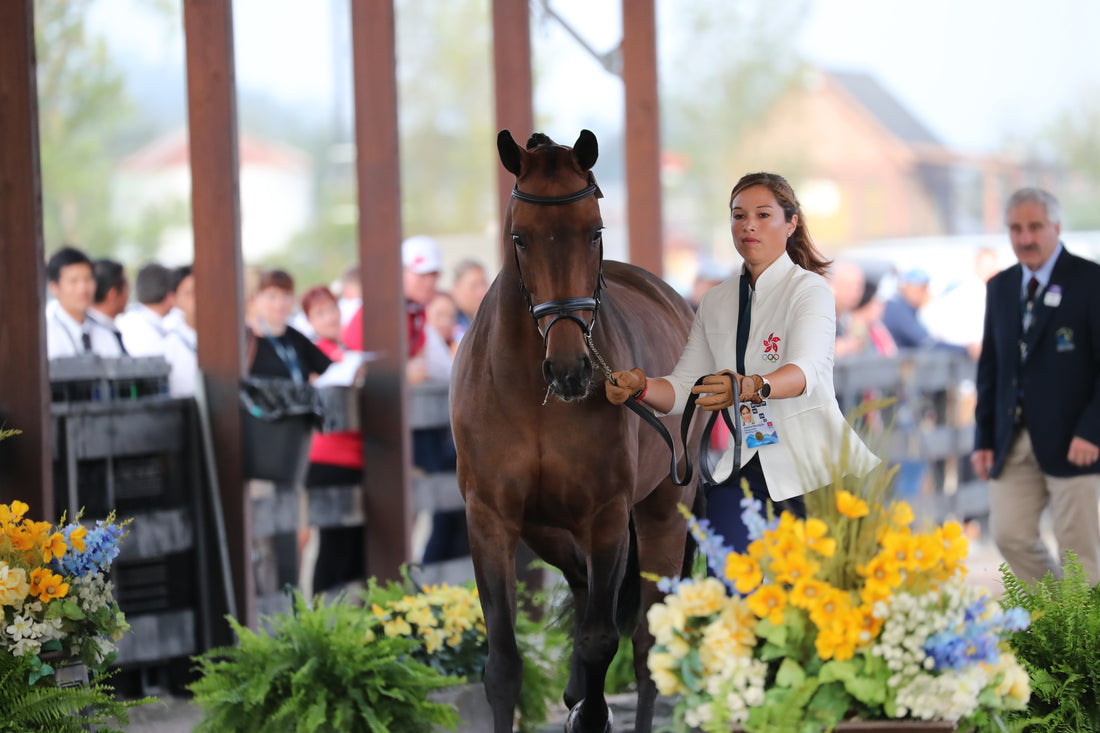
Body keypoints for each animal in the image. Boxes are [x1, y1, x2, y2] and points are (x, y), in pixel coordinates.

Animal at [451, 131, 699, 730]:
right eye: (520, 236)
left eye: (596, 230)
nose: (569, 370)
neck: (535, 399)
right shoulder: (491, 517)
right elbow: (503, 664)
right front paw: (572, 700)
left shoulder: (607, 516)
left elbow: (600, 641)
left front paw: (592, 713)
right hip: (547, 531)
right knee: (586, 589)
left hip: (660, 516)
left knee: (645, 645)